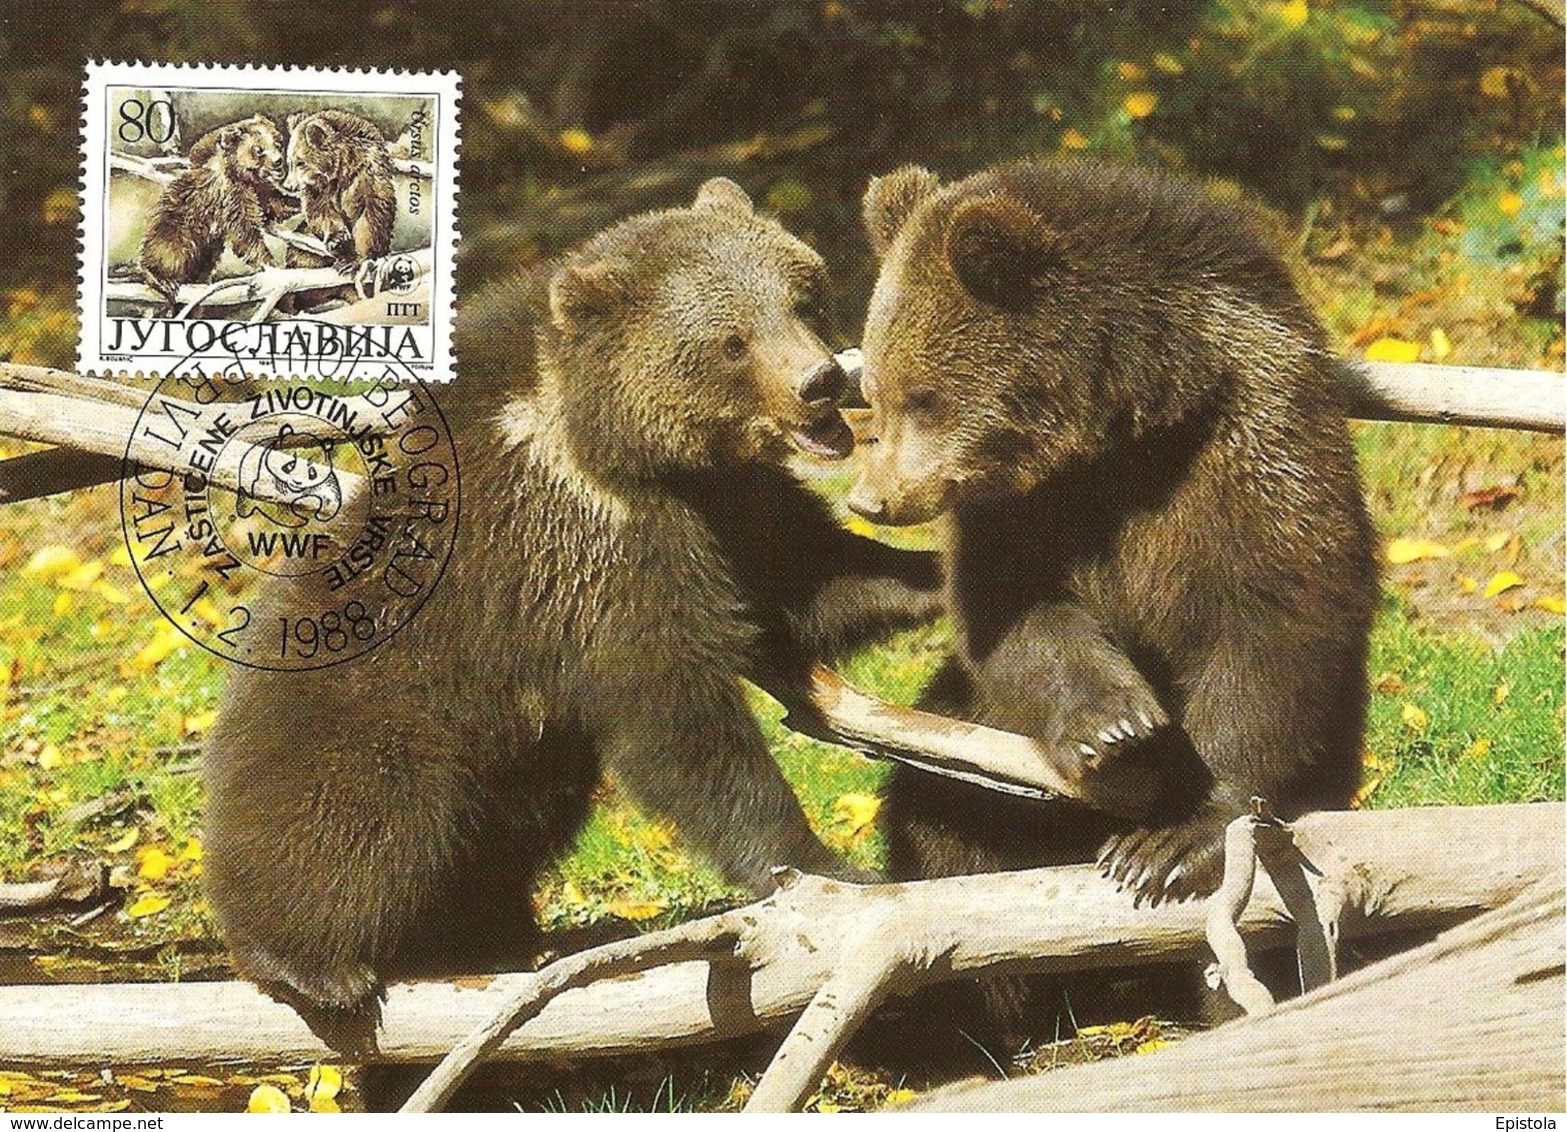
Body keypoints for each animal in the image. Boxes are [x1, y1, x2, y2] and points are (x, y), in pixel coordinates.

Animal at [139, 114, 286, 311]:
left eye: (277, 142)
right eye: (258, 149)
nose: (278, 161)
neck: (242, 176)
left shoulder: (258, 190)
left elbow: (276, 203)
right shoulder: (232, 198)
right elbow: (245, 235)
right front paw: (270, 265)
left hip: (206, 251)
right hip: (176, 233)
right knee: (167, 252)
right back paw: (163, 280)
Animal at [201, 180, 941, 1085]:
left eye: (802, 295)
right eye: (731, 341)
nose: (820, 381)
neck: (622, 446)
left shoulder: (724, 505)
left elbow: (807, 576)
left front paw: (941, 575)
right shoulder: (591, 553)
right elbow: (677, 720)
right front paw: (819, 863)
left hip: (519, 769)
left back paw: (492, 934)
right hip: (372, 708)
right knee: (358, 812)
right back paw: (311, 963)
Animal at [281, 109, 396, 273]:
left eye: (300, 162)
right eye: (289, 162)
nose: (288, 185)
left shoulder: (366, 172)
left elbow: (371, 212)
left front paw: (356, 259)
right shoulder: (320, 189)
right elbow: (320, 211)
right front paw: (338, 239)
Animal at [847, 158, 1377, 913]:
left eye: (923, 397)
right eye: (874, 391)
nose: (871, 498)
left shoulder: (1247, 439)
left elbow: (1274, 615)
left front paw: (1171, 842)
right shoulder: (1022, 509)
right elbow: (1009, 610)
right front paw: (1116, 727)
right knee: (939, 806)